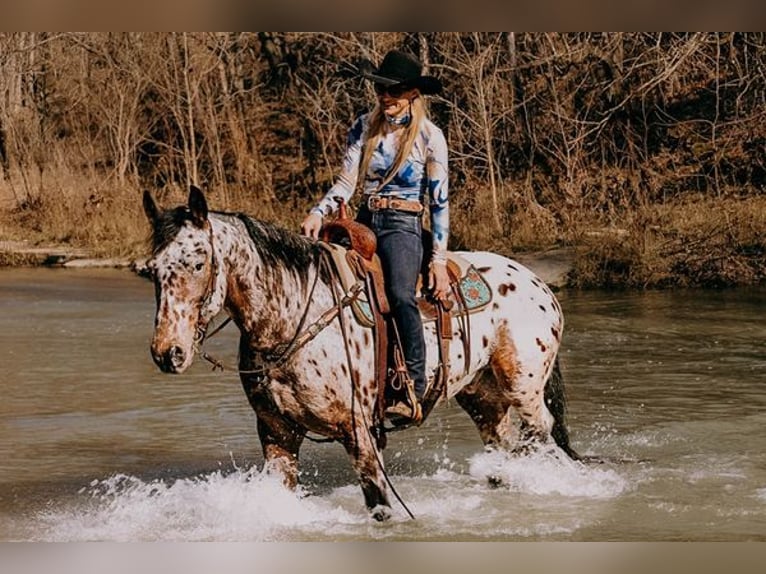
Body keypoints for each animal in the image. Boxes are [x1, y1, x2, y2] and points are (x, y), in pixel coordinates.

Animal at [141, 188, 580, 520]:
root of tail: (537, 282)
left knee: (541, 429)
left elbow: (380, 504)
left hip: (522, 386)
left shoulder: (359, 431)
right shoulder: (277, 434)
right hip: (482, 397)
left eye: (198, 262)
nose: (167, 352)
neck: (293, 317)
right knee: (502, 439)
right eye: (151, 269)